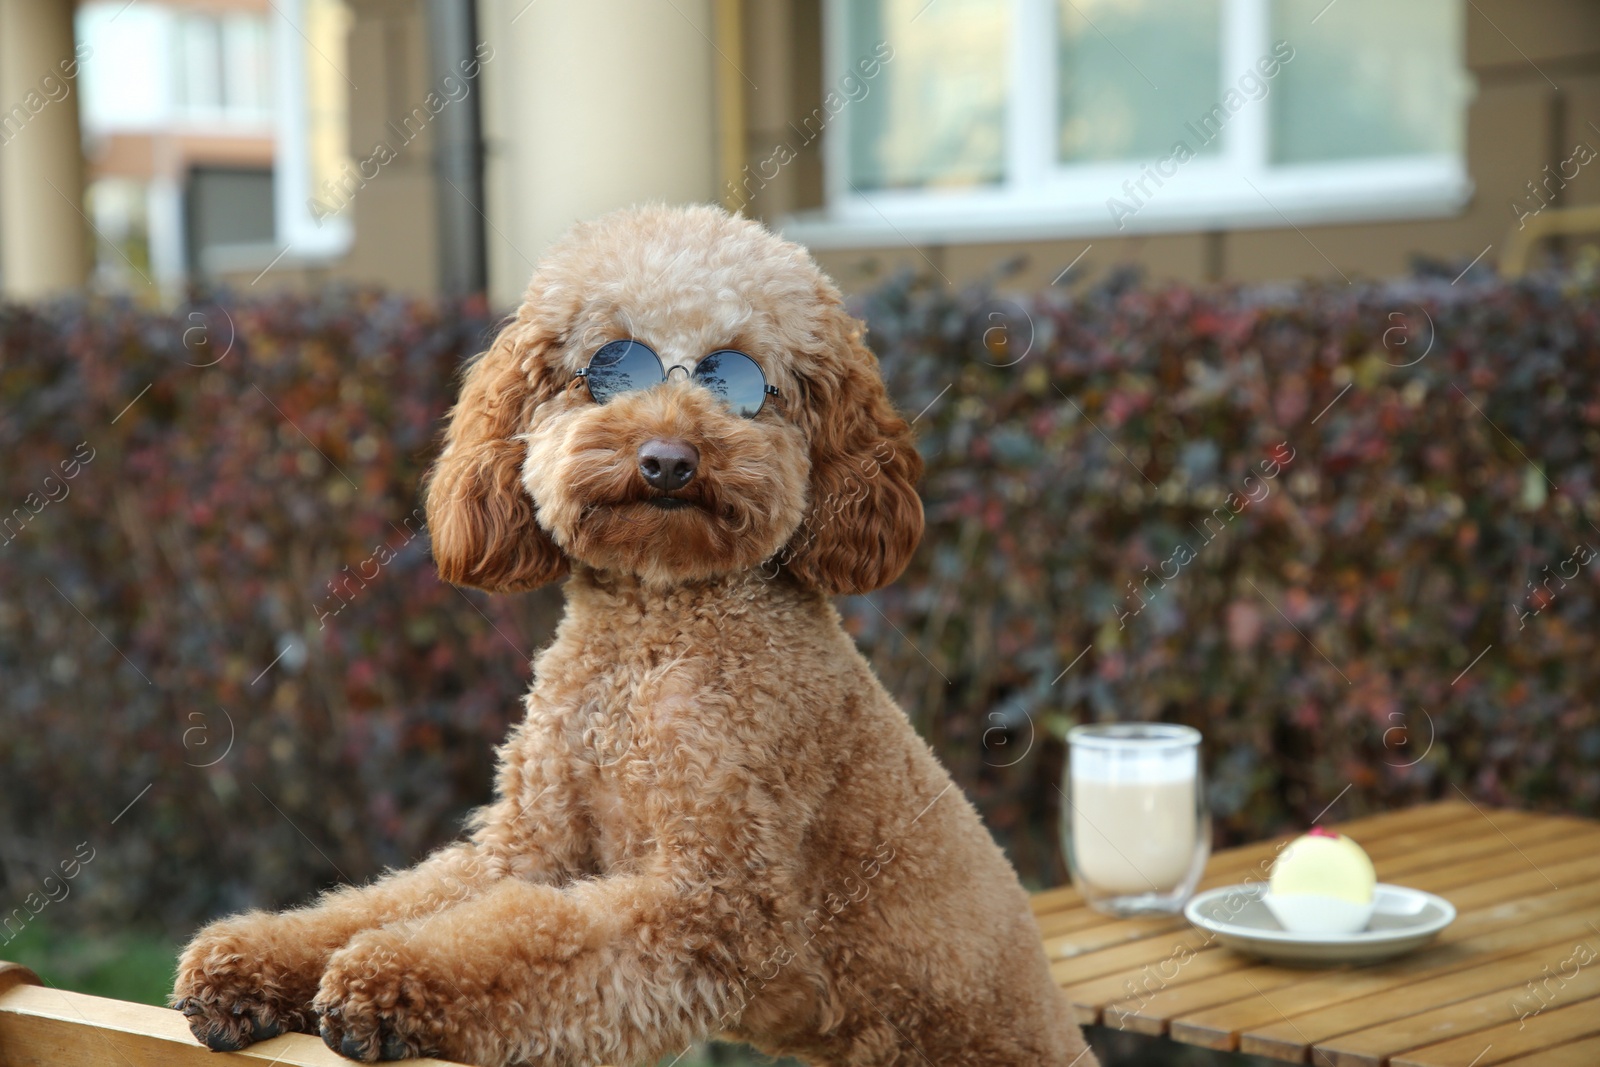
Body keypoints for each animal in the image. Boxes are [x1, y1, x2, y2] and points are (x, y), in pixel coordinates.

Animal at [175, 206, 1100, 1067]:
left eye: (741, 376)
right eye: (611, 363)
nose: (668, 460)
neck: (651, 637)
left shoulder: (711, 903)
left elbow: (527, 937)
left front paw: (389, 981)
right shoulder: (526, 845)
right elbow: (386, 899)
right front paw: (252, 959)